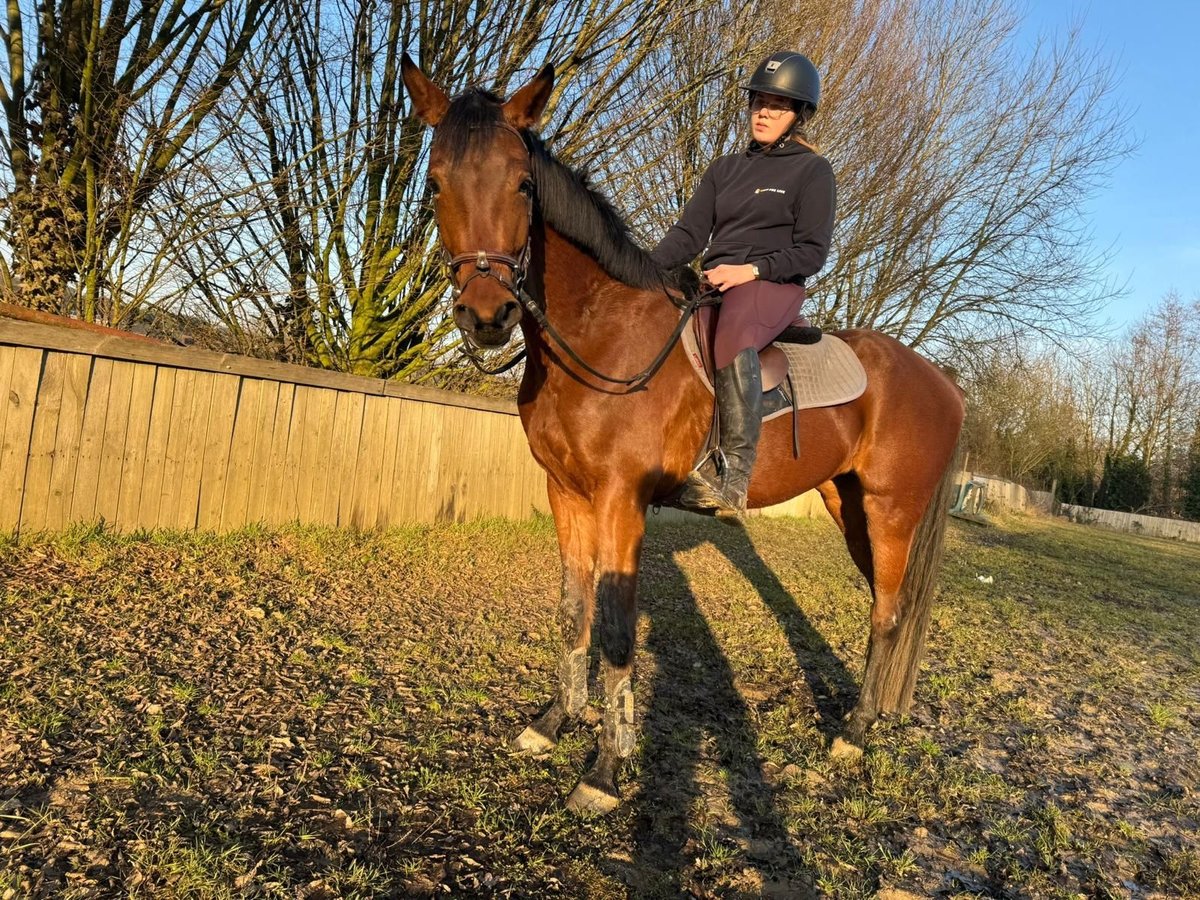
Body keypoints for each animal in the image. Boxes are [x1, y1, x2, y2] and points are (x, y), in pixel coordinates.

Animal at [403, 56, 964, 816]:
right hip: (848, 507)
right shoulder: (566, 495)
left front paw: (606, 770)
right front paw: (553, 723)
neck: (601, 335)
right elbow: (573, 610)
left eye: (522, 184)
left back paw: (851, 736)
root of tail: (943, 383)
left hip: (891, 511)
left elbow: (616, 629)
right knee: (886, 606)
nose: (487, 314)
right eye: (436, 183)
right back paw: (867, 718)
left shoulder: (621, 501)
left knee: (887, 613)